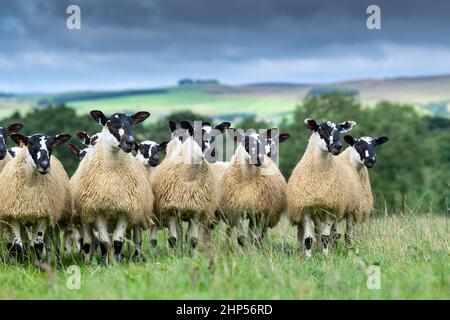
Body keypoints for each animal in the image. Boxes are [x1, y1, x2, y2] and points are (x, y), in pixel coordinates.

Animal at [0, 131, 71, 264]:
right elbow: (17, 246)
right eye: (30, 145)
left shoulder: (43, 216)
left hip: (54, 221)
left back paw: (56, 264)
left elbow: (38, 245)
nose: (44, 165)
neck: (30, 185)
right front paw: (19, 265)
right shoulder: (14, 216)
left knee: (54, 244)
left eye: (51, 145)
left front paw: (37, 265)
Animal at [72, 111, 153, 264]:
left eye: (132, 124)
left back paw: (136, 258)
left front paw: (117, 262)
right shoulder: (98, 210)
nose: (130, 142)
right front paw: (105, 263)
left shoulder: (125, 209)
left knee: (137, 239)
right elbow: (104, 241)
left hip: (137, 213)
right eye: (111, 125)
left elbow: (118, 241)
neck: (111, 172)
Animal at [286, 119, 356, 256]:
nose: (337, 147)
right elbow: (308, 238)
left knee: (336, 233)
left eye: (339, 131)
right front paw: (308, 257)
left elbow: (326, 237)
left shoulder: (331, 208)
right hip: (316, 211)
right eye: (321, 130)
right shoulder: (306, 208)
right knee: (317, 231)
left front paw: (325, 256)